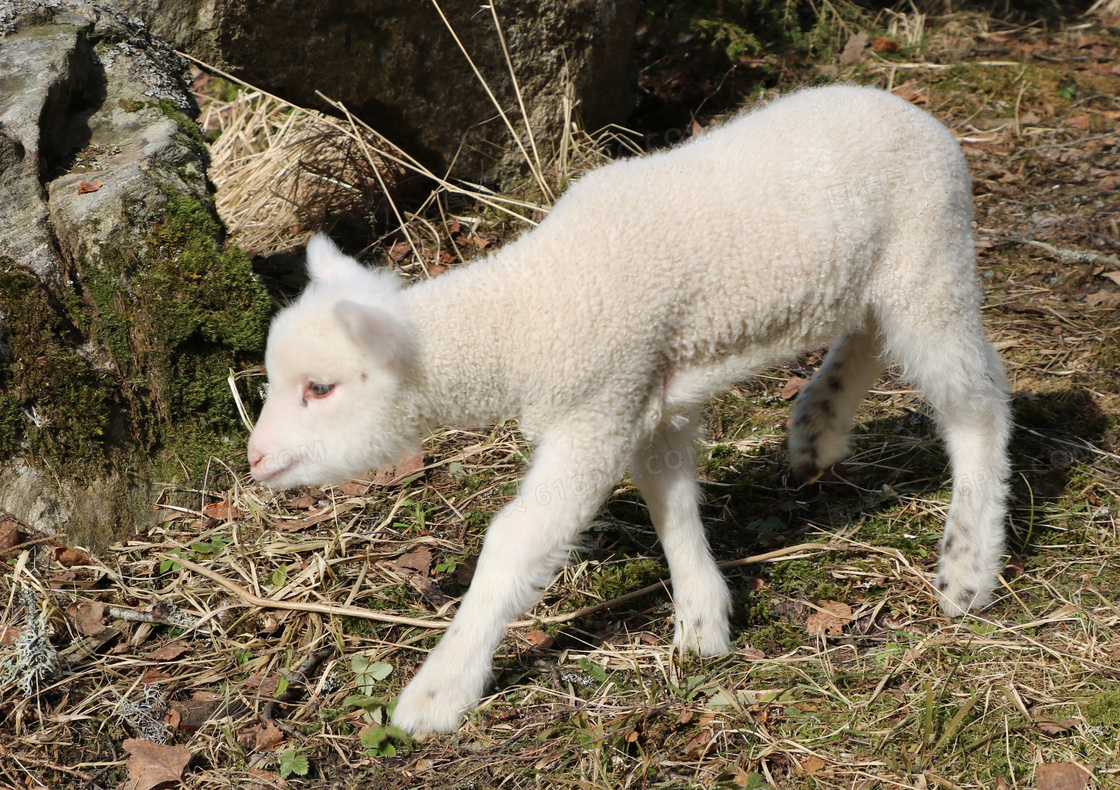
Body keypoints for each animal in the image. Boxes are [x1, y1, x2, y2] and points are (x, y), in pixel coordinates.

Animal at [247, 84, 1016, 735]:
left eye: (320, 388)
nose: (255, 460)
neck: (524, 314)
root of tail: (918, 115)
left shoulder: (600, 405)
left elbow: (517, 541)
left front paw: (437, 693)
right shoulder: (646, 396)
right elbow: (669, 500)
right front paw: (703, 623)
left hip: (931, 261)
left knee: (979, 401)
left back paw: (969, 567)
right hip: (877, 274)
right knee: (866, 336)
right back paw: (818, 427)